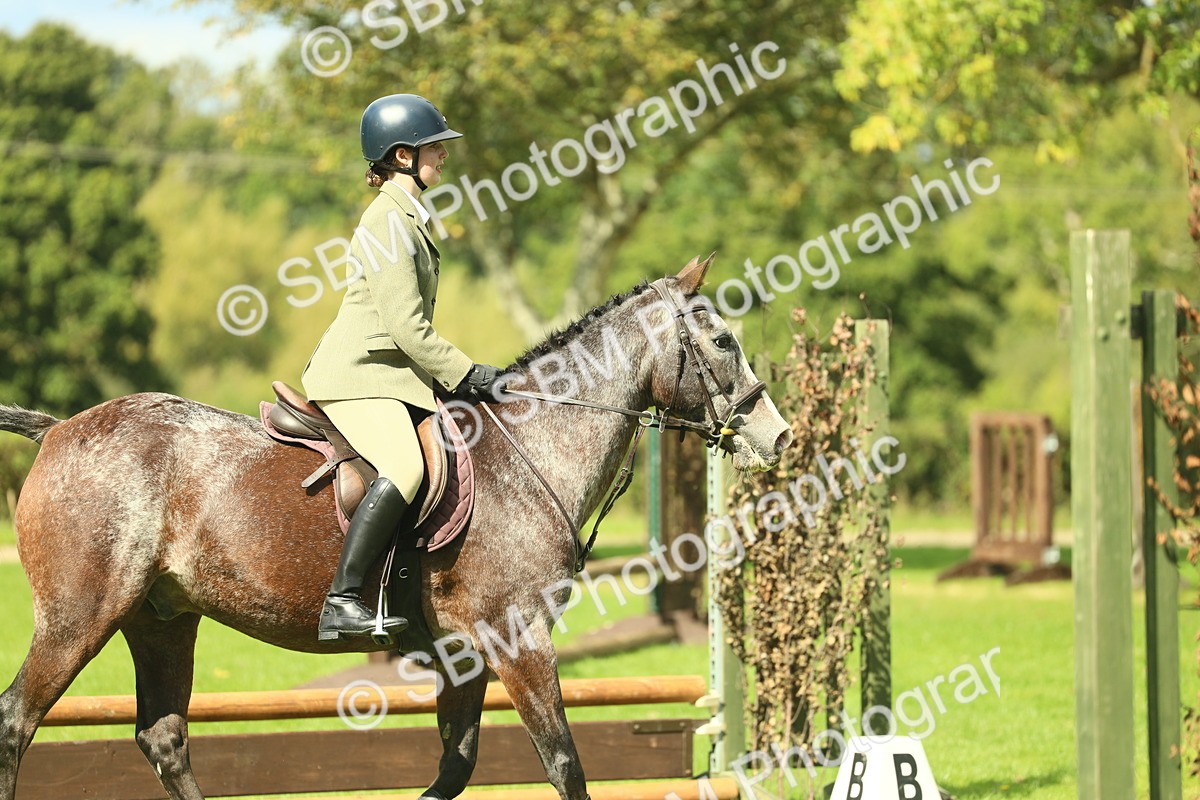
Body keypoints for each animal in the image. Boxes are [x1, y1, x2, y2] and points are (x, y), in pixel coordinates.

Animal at [0, 255, 792, 800]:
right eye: (723, 341)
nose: (779, 437)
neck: (532, 452)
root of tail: (58, 429)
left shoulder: (466, 652)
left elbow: (455, 765)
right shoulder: (521, 640)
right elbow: (563, 762)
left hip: (162, 619)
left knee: (164, 738)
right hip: (80, 616)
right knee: (16, 721)